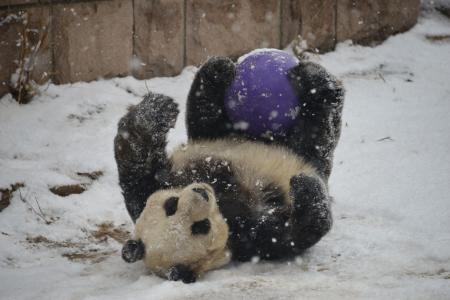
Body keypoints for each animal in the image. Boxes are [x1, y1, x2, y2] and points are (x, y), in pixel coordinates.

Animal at [114, 56, 342, 284]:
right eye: (201, 226)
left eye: (171, 204)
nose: (201, 193)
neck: (221, 201)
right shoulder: (248, 238)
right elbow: (294, 233)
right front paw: (304, 186)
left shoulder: (158, 185)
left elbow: (137, 168)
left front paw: (153, 112)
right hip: (311, 150)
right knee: (319, 129)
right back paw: (318, 81)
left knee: (206, 116)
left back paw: (217, 71)